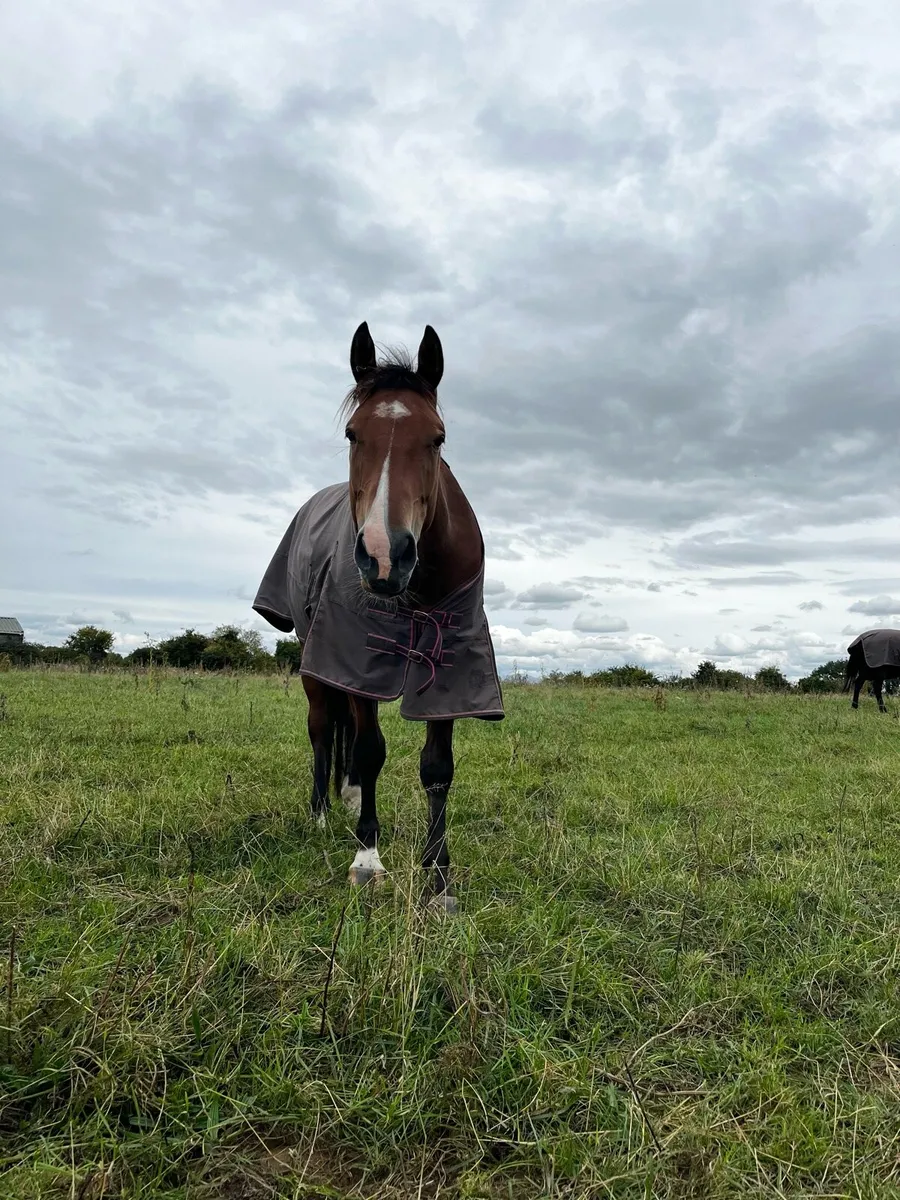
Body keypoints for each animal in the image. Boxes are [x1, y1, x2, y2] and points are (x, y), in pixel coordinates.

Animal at [253, 323, 504, 913]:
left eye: (437, 437)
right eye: (352, 433)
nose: (385, 555)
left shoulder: (451, 666)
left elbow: (437, 768)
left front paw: (439, 878)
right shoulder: (356, 656)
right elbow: (369, 751)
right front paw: (368, 859)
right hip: (317, 661)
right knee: (323, 728)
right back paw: (323, 811)